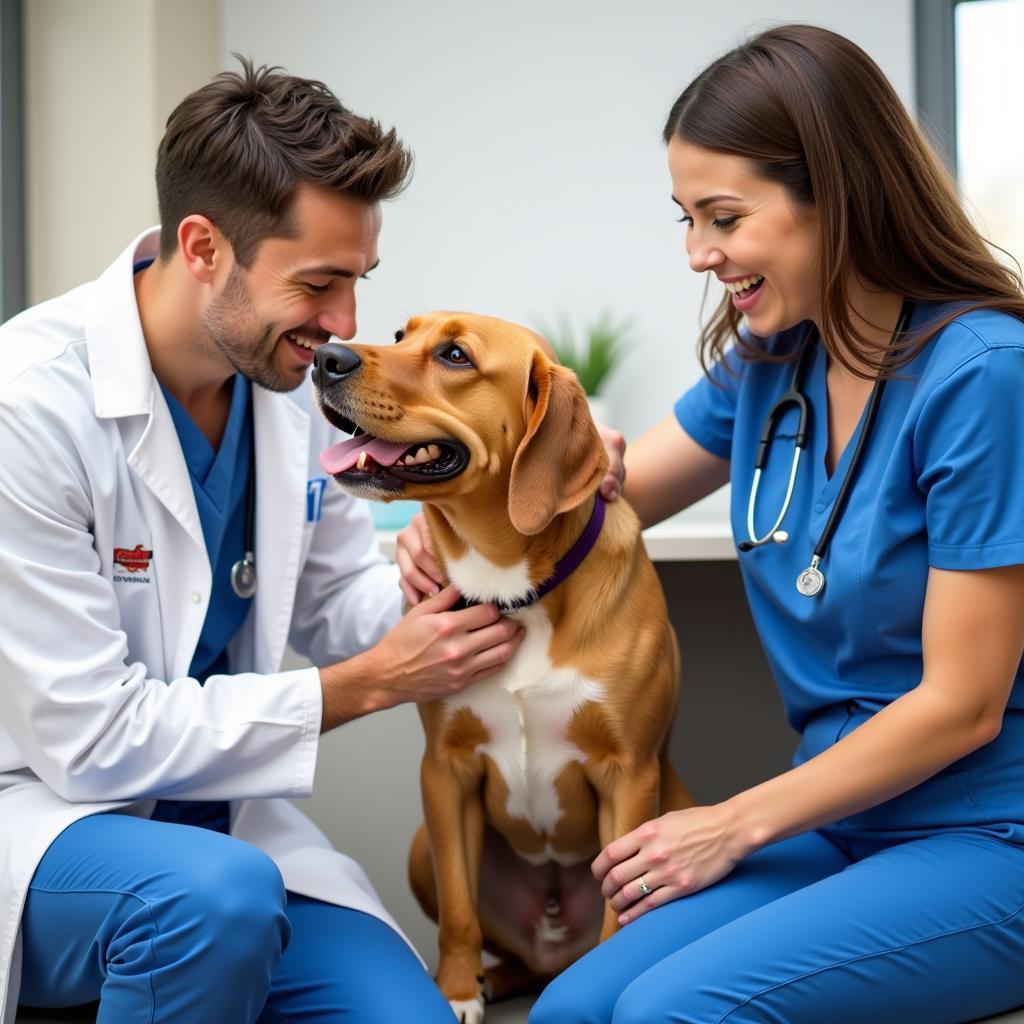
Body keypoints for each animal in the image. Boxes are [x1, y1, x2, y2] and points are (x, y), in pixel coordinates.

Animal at [311, 313, 696, 1024]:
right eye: (401, 334)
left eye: (455, 355)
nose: (325, 358)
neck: (516, 593)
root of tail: (551, 949)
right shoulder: (446, 771)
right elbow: (458, 911)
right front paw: (457, 988)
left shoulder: (628, 777)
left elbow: (617, 914)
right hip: (421, 848)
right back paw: (493, 978)